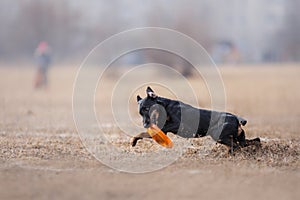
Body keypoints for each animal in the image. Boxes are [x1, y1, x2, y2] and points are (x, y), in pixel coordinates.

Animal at [131, 86, 260, 153]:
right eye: (140, 113)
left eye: (147, 108)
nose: (145, 125)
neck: (166, 107)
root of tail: (236, 118)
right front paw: (134, 141)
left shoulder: (174, 125)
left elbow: (141, 134)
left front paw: (133, 141)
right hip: (237, 137)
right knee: (253, 141)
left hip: (218, 135)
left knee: (236, 146)